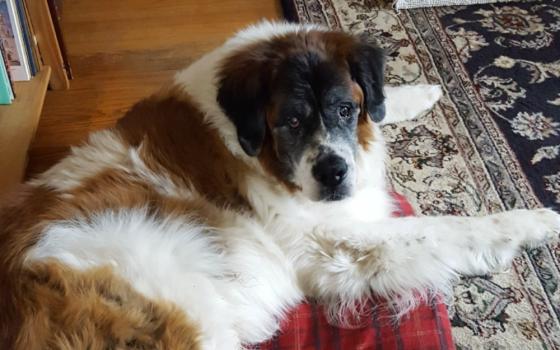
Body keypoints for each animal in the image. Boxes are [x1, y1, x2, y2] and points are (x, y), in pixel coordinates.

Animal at [1, 21, 560, 350]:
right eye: (290, 122)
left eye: (345, 108)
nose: (333, 172)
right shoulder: (342, 242)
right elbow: (450, 227)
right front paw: (534, 219)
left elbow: (384, 111)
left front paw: (416, 93)